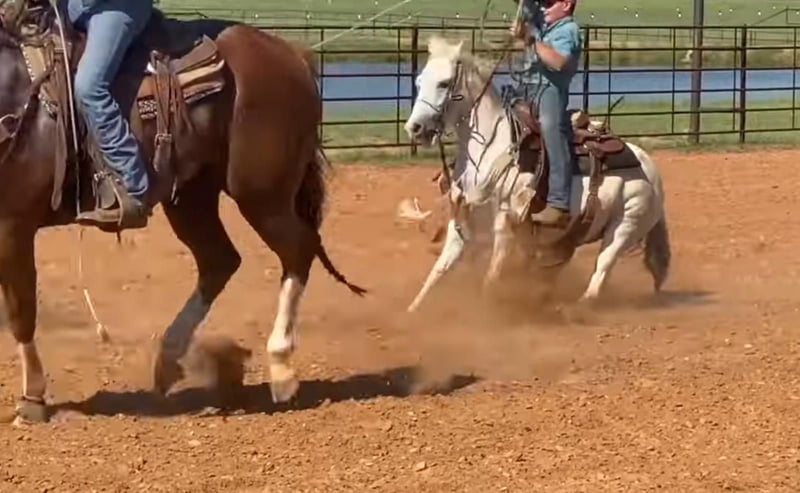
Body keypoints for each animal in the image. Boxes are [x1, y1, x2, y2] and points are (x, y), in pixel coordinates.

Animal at [0, 1, 365, 424]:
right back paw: (168, 362)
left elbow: (21, 308)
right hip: (192, 197)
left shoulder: (13, 224)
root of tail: (291, 54)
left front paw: (32, 399)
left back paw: (281, 370)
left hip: (261, 193)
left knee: (297, 251)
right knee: (219, 260)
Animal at [402, 36, 671, 313]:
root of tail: (650, 169)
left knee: (600, 274)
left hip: (626, 225)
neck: (491, 149)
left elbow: (491, 278)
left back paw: (572, 310)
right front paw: (411, 313)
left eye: (444, 83)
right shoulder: (462, 222)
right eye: (419, 81)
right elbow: (438, 272)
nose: (415, 128)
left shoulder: (505, 227)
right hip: (570, 236)